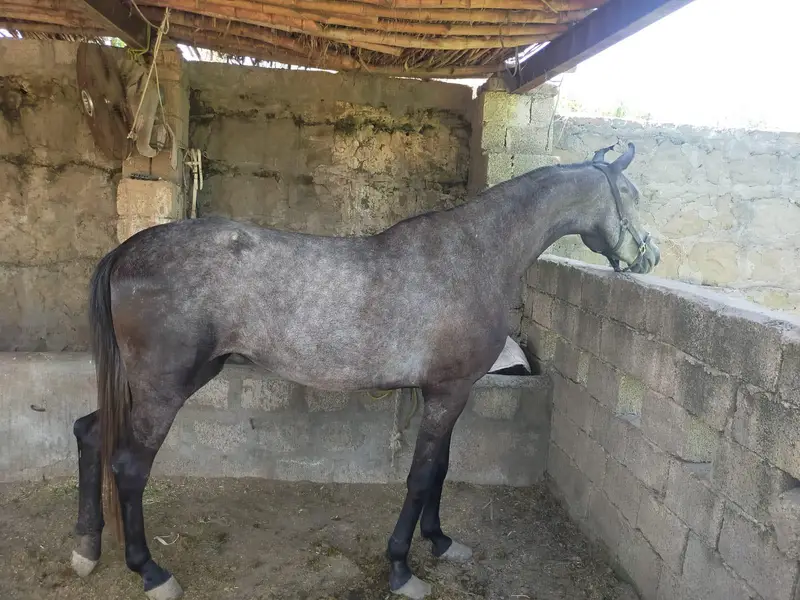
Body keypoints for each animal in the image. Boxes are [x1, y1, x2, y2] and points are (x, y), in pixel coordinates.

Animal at [69, 142, 659, 600]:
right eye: (630, 195)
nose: (648, 257)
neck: (473, 256)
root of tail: (126, 250)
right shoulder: (448, 392)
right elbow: (420, 476)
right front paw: (401, 568)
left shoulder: (446, 392)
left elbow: (440, 468)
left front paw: (441, 542)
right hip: (162, 388)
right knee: (128, 465)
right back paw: (151, 572)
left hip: (172, 381)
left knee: (90, 433)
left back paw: (87, 547)